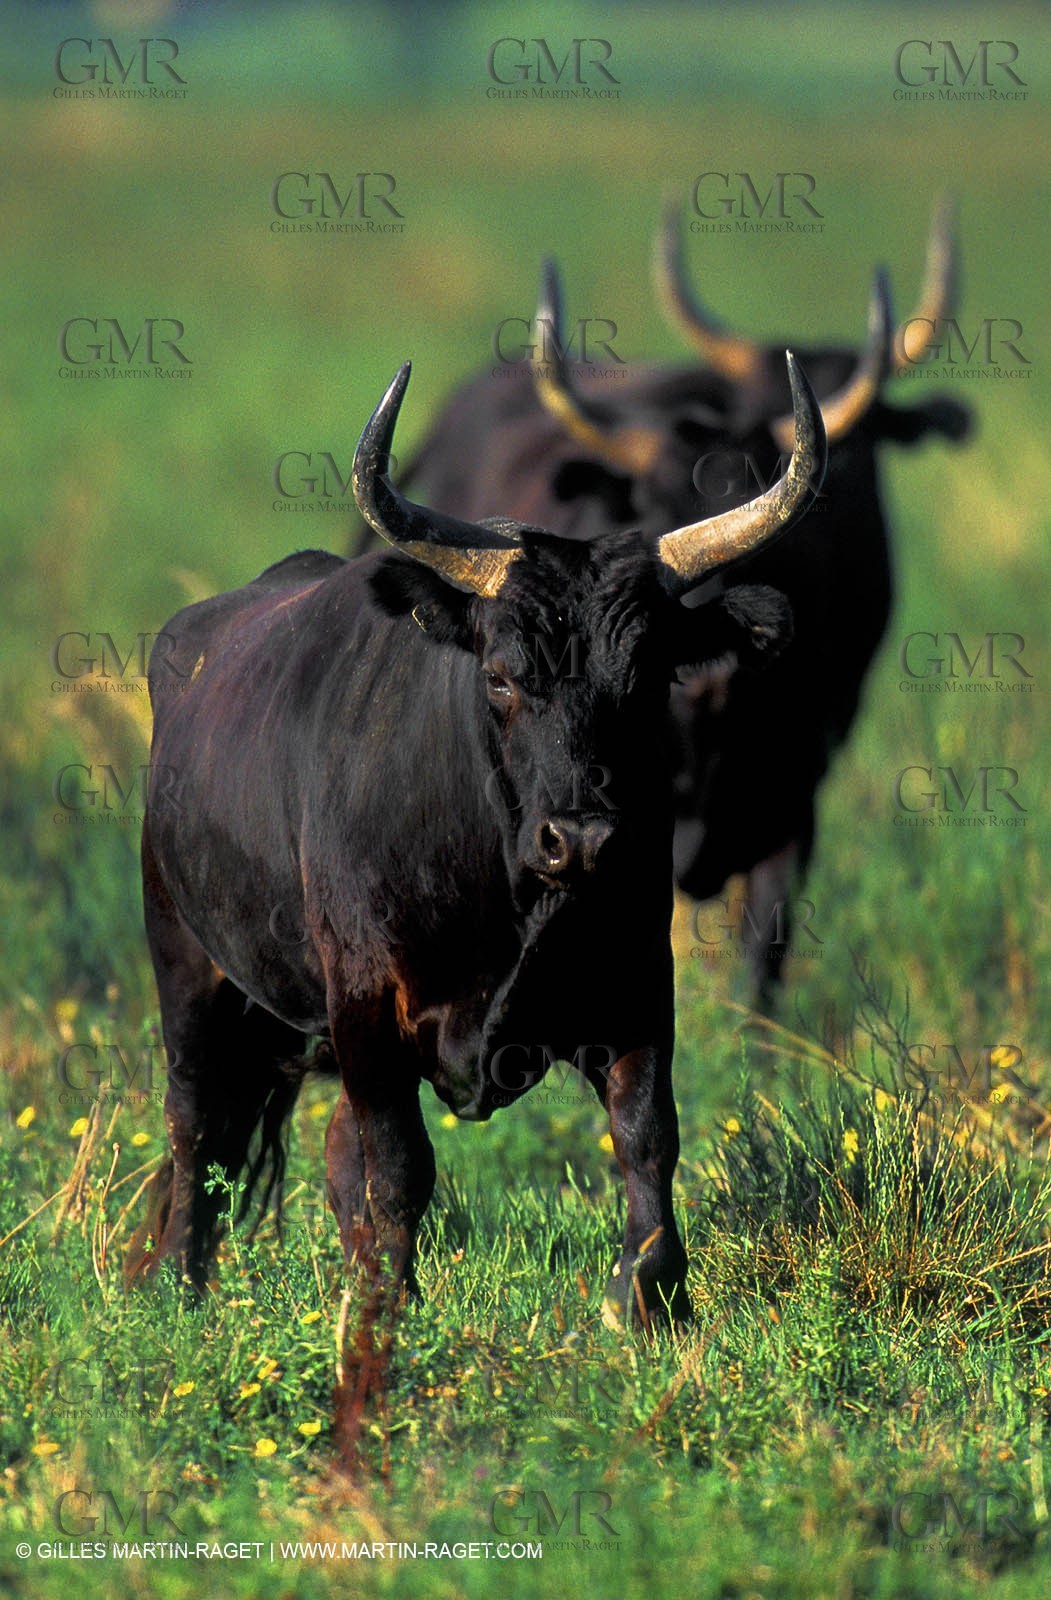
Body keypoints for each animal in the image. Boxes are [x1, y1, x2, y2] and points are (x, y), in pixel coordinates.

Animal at [127, 354, 826, 1328]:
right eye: (500, 676)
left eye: (648, 677)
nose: (583, 839)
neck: (505, 893)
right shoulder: (367, 1005)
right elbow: (399, 1168)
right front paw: (387, 1312)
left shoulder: (637, 987)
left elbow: (648, 1139)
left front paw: (651, 1299)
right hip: (187, 965)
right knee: (194, 1124)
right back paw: (182, 1282)